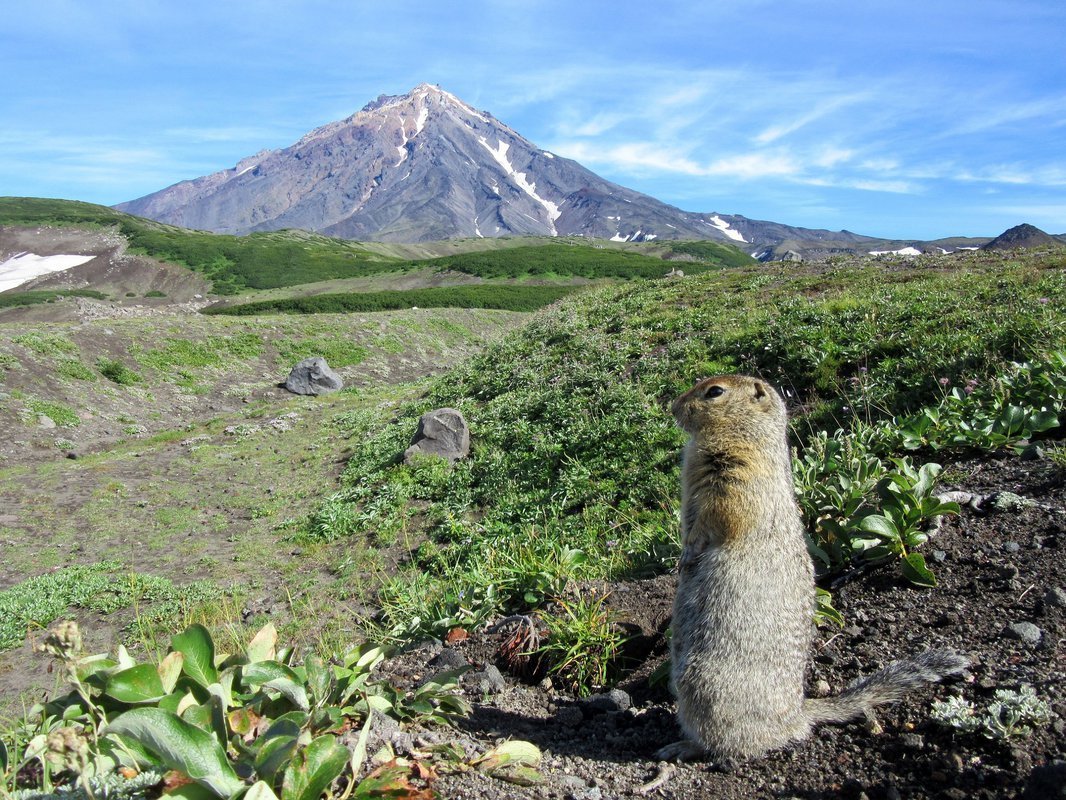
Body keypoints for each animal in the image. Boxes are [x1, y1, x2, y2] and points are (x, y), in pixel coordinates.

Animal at [656, 375, 967, 763]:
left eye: (715, 391)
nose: (672, 407)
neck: (746, 432)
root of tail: (797, 714)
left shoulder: (739, 475)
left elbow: (721, 516)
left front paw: (688, 553)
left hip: (704, 685)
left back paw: (683, 747)